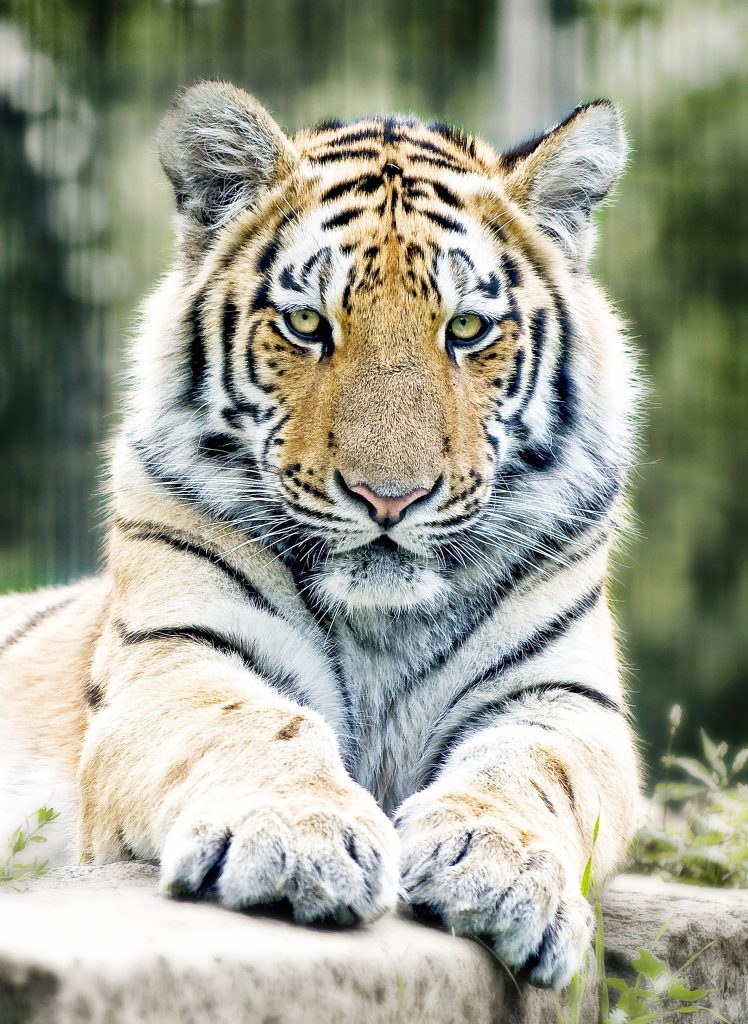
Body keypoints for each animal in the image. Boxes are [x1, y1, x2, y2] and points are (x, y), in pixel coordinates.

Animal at [0, 81, 640, 989]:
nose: (389, 498)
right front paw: (294, 842)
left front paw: (498, 867)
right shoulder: (175, 654)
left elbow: (531, 770)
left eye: (468, 330)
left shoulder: (564, 698)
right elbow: (253, 723)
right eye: (307, 325)